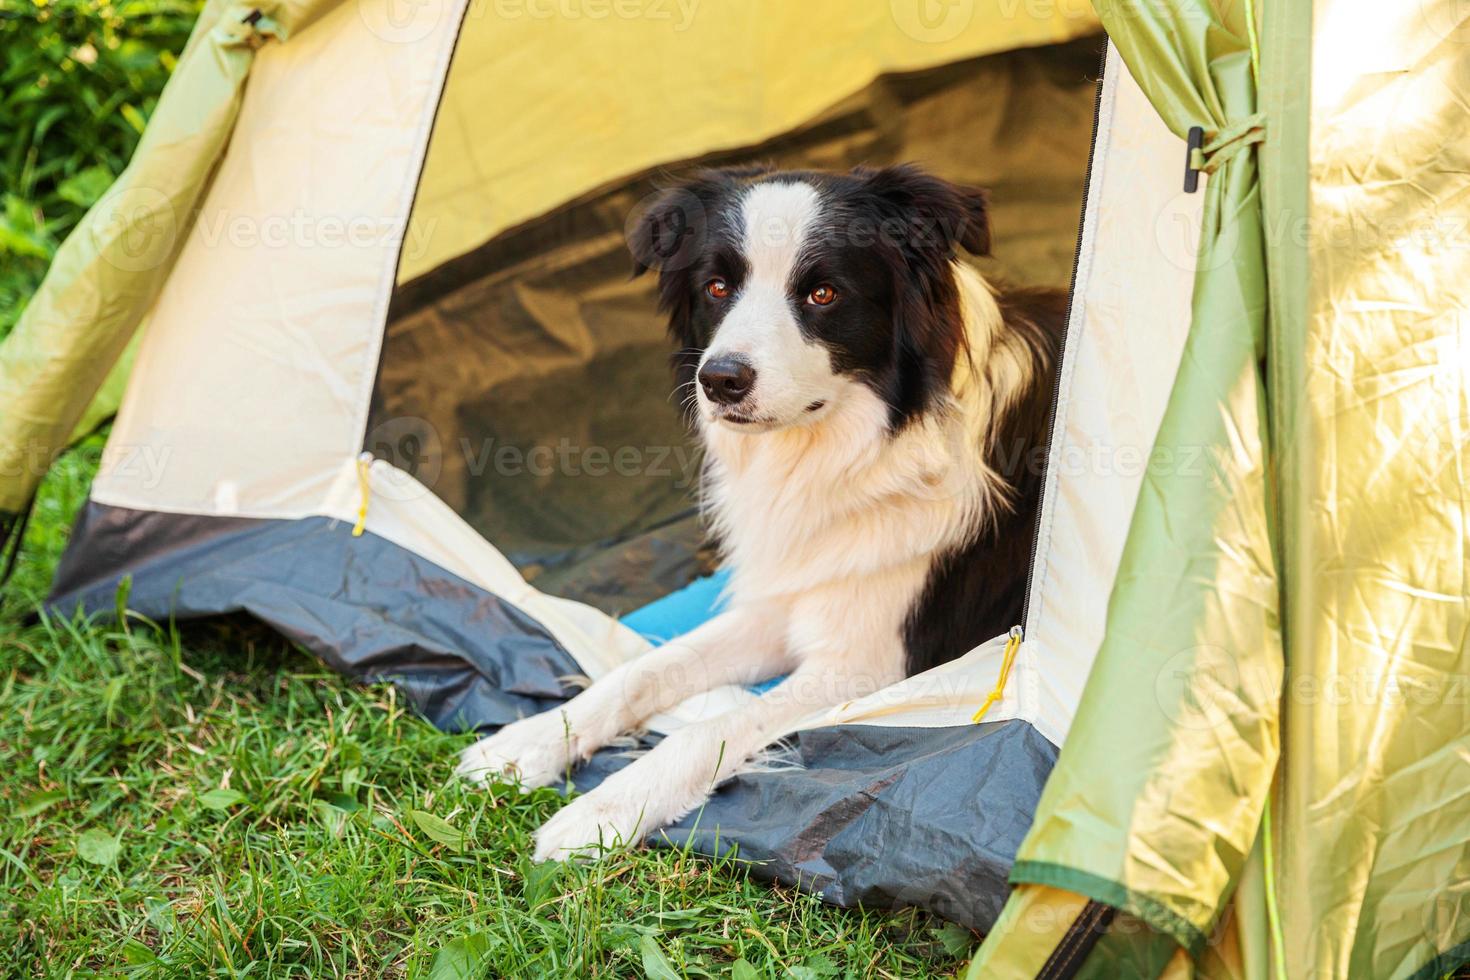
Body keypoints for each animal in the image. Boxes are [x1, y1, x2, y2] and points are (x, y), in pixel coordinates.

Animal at [452, 164, 1064, 863]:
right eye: (716, 286)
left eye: (824, 292)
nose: (720, 380)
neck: (854, 447)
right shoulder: (790, 591)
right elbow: (642, 671)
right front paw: (521, 746)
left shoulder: (873, 665)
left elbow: (710, 726)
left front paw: (602, 813)